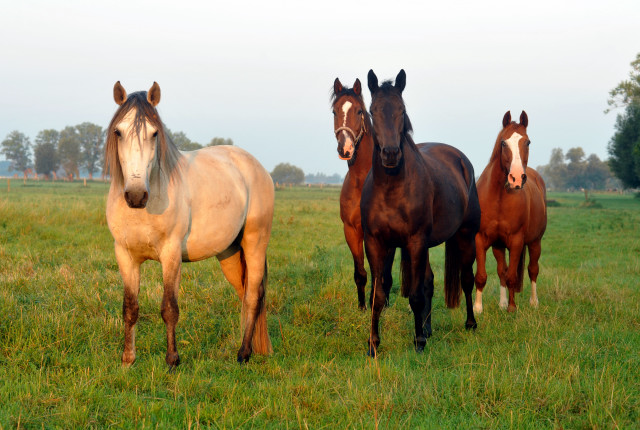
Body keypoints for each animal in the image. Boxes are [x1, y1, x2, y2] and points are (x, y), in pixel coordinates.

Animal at [105, 81, 276, 366]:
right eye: (118, 132)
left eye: (154, 133)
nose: (136, 195)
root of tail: (255, 165)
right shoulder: (125, 255)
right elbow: (130, 308)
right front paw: (128, 360)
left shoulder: (171, 254)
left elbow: (169, 308)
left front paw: (172, 359)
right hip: (229, 253)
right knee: (243, 293)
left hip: (255, 243)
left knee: (253, 296)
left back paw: (243, 354)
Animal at [360, 68, 480, 356]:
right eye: (372, 110)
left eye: (402, 110)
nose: (390, 154)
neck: (391, 189)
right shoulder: (376, 242)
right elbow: (378, 294)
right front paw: (373, 344)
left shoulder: (415, 241)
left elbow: (414, 295)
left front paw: (418, 342)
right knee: (429, 282)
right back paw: (427, 328)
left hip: (465, 236)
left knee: (466, 279)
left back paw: (469, 324)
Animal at [472, 110, 548, 312]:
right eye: (503, 143)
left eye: (527, 142)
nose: (516, 178)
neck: (499, 196)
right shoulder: (481, 239)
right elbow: (483, 275)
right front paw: (477, 308)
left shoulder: (516, 241)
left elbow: (513, 276)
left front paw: (512, 309)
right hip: (498, 246)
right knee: (502, 271)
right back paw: (502, 302)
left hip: (535, 242)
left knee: (532, 270)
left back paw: (533, 302)